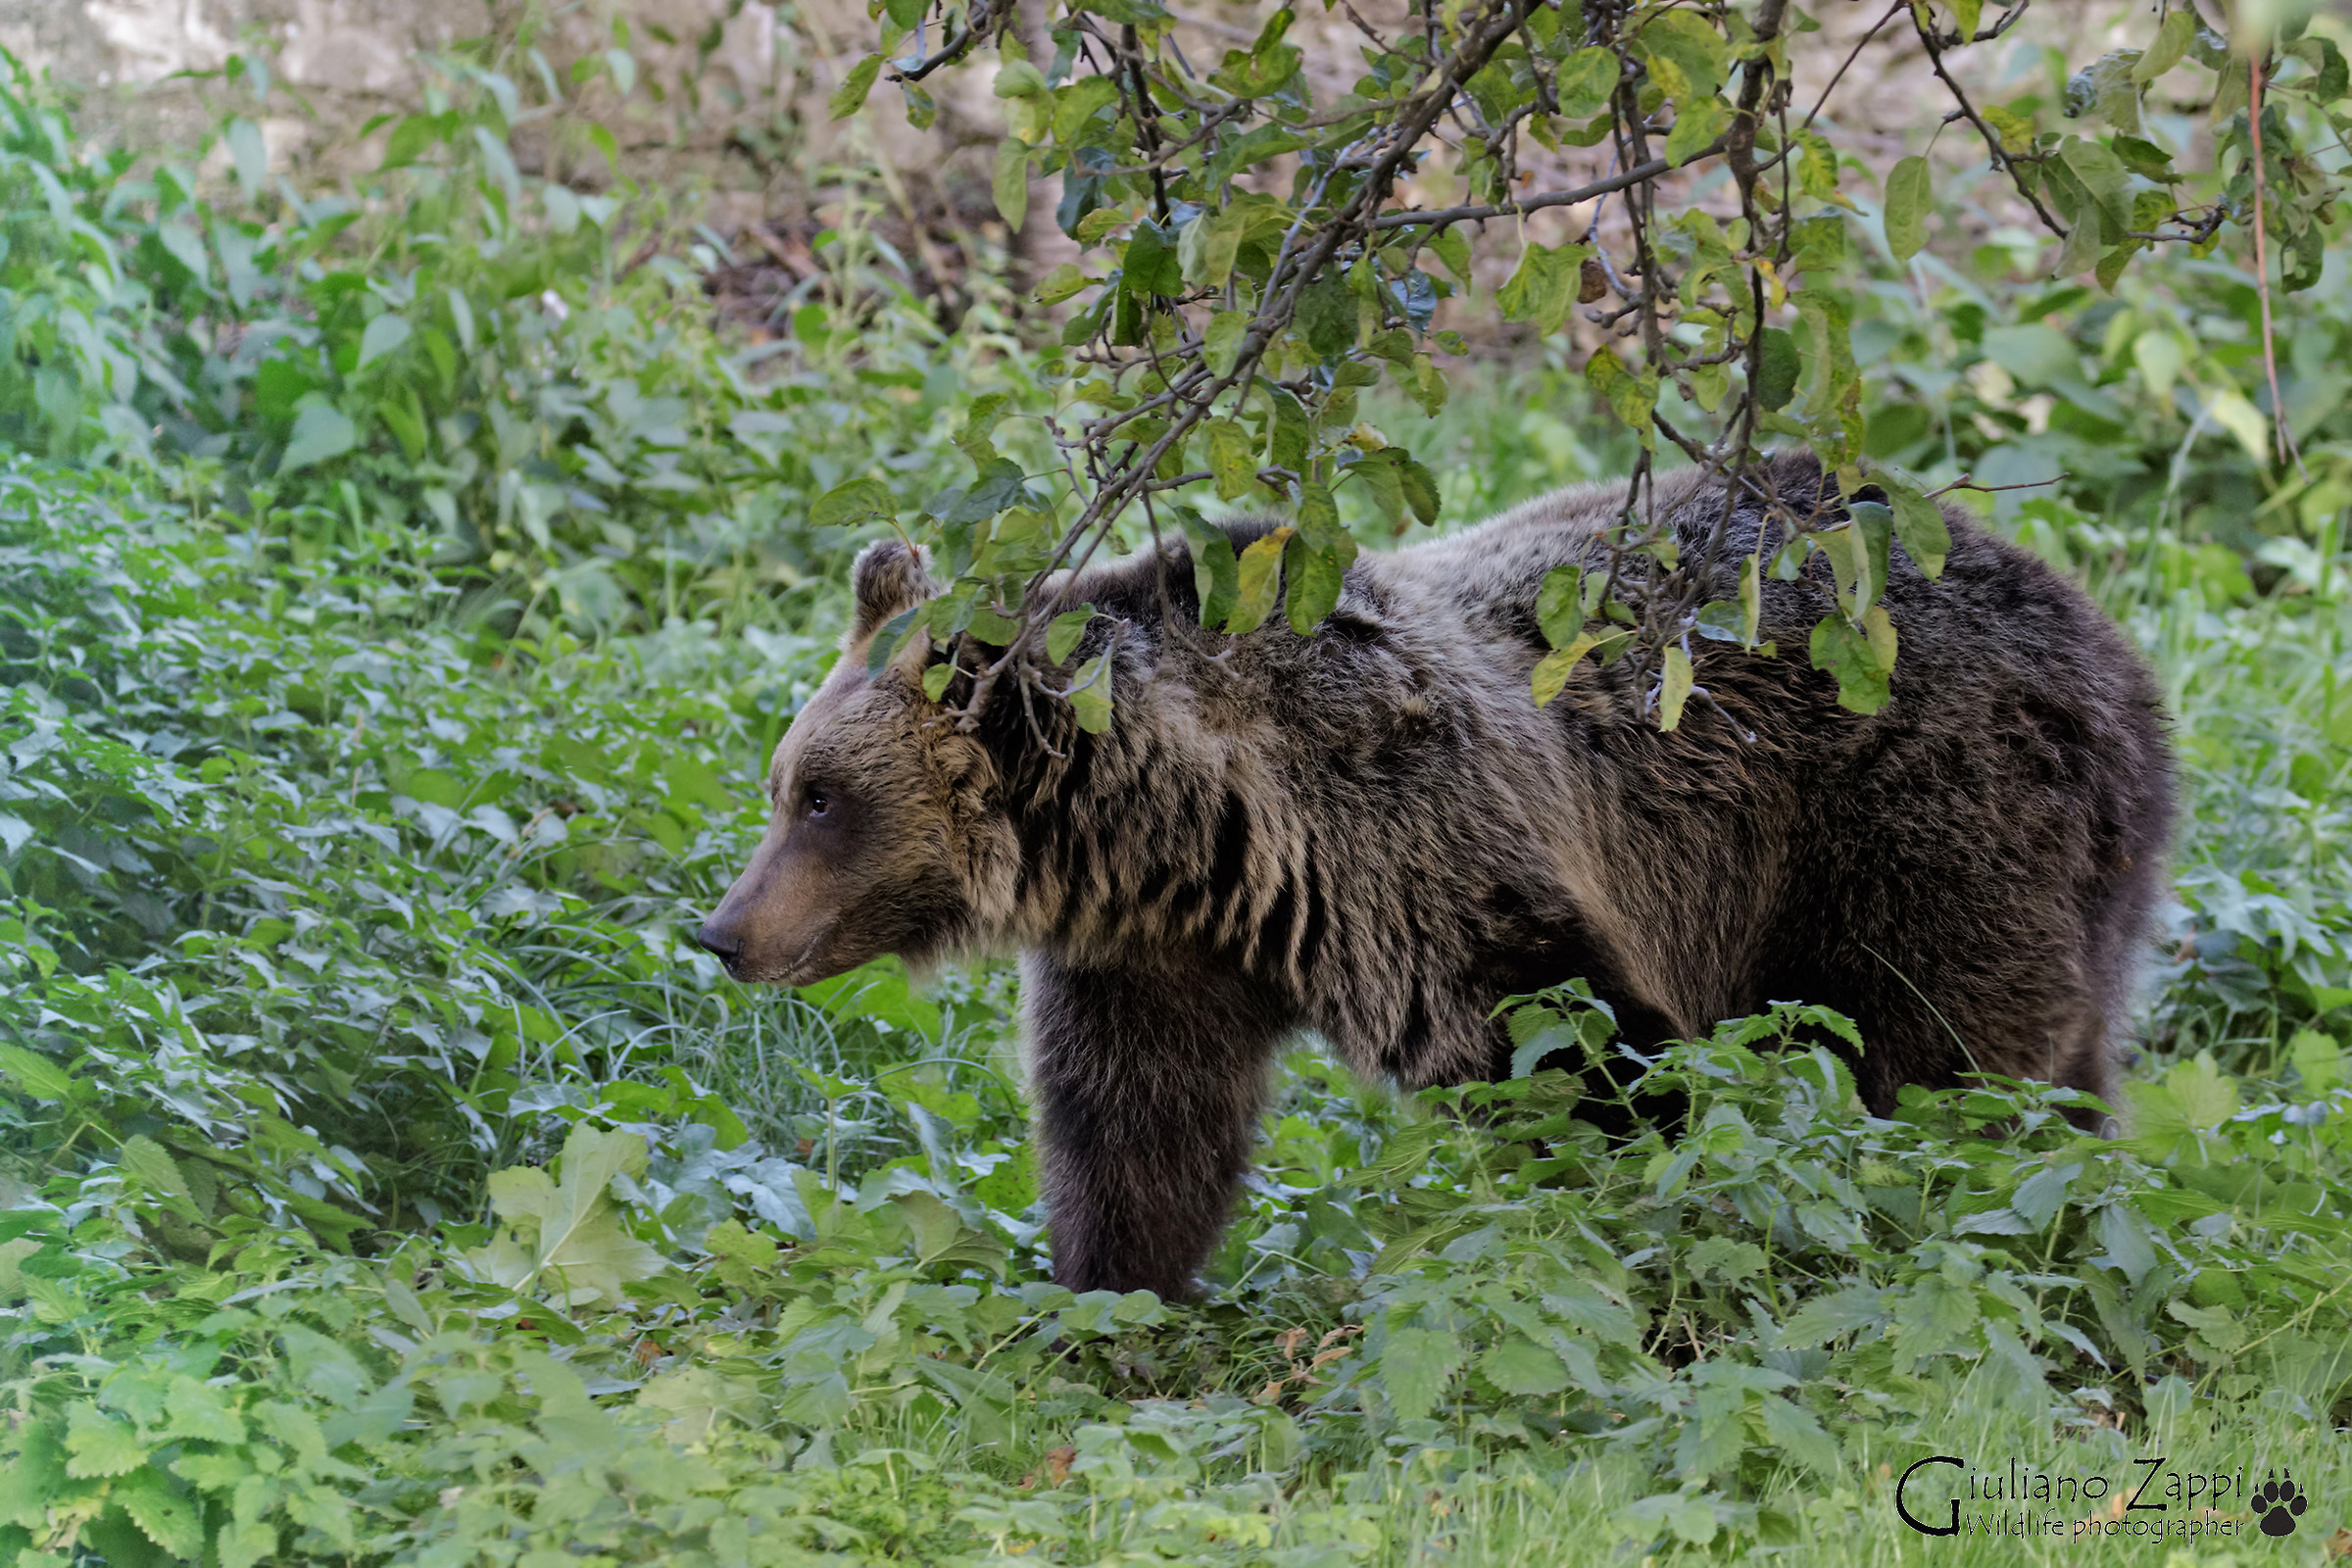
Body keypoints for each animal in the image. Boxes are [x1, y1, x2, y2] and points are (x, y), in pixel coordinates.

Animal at [695, 451, 2176, 1300]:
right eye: (784, 782)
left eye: (821, 799)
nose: (721, 931)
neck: (1190, 836)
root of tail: (2113, 650)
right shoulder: (1160, 958)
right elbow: (1136, 1129)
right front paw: (1106, 1292)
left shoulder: (1430, 862)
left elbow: (1589, 1065)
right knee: (2060, 1069)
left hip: (1912, 821)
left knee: (1939, 1065)